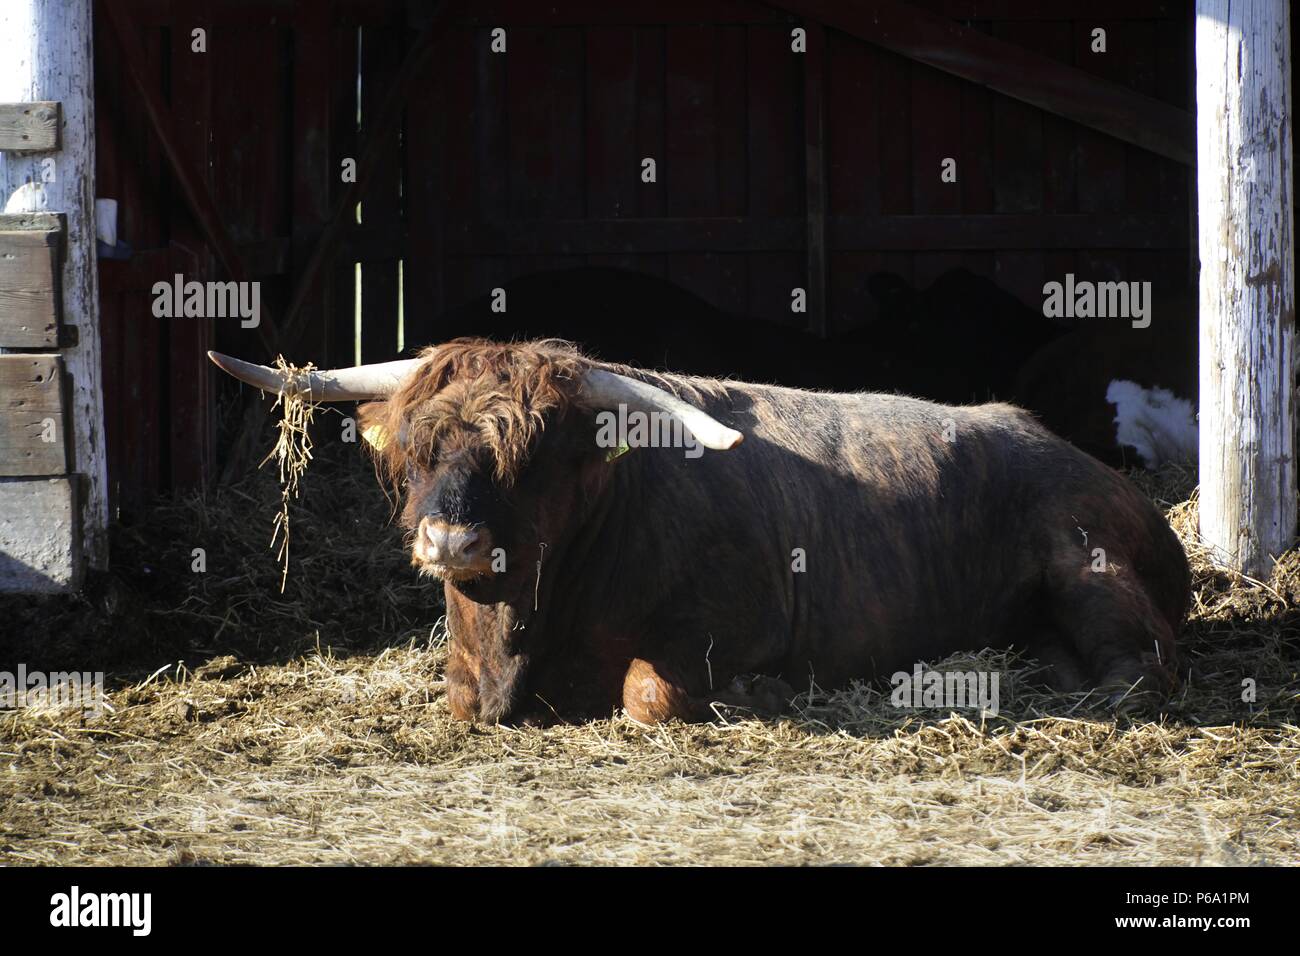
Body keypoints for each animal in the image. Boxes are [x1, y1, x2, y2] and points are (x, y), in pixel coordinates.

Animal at [210, 340, 1190, 723]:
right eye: (418, 450)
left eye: (535, 454)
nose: (450, 542)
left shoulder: (728, 630)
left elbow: (647, 695)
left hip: (1087, 563)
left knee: (1139, 668)